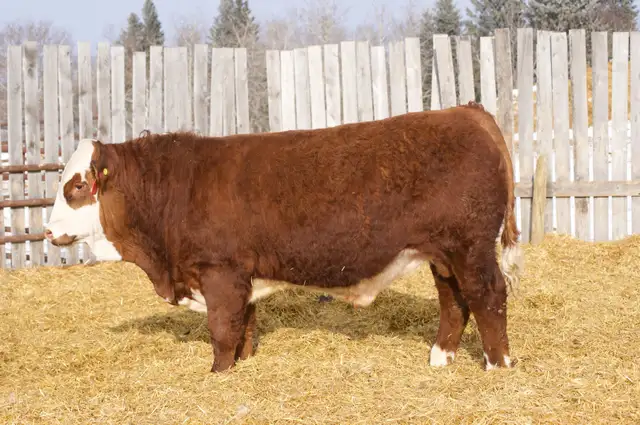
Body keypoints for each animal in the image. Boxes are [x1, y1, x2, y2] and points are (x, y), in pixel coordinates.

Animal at [45, 102, 524, 373]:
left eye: (77, 186)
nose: (48, 231)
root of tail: (465, 111)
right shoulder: (241, 277)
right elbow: (245, 327)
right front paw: (243, 367)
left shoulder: (219, 273)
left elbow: (222, 331)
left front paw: (217, 375)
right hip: (443, 253)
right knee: (454, 300)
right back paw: (440, 359)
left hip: (471, 247)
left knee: (488, 296)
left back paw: (498, 365)